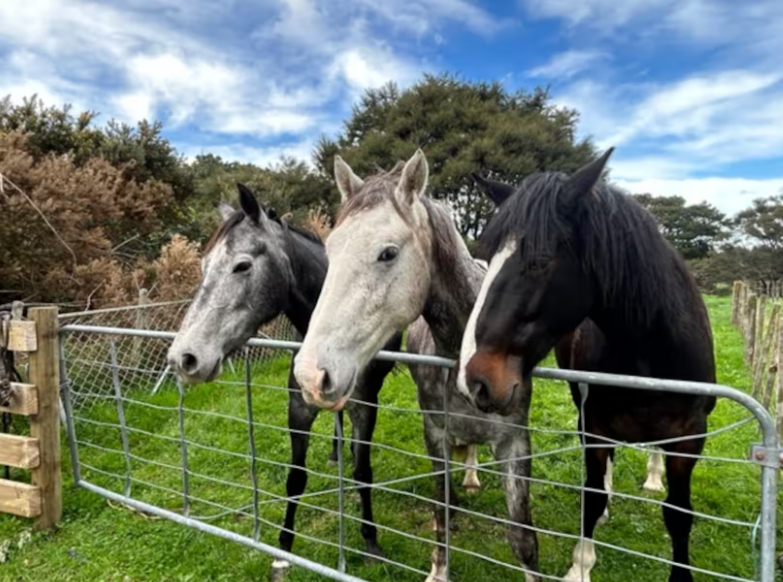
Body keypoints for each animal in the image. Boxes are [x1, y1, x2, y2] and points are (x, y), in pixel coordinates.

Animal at [167, 183, 403, 581]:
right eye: (202, 266)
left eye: (242, 265)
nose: (185, 358)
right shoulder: (298, 408)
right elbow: (296, 478)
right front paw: (283, 550)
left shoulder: (365, 408)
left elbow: (362, 472)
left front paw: (371, 541)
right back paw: (335, 452)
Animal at [294, 150, 540, 582]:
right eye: (331, 250)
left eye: (388, 253)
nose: (310, 375)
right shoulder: (435, 434)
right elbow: (441, 511)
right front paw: (438, 569)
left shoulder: (515, 442)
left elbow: (522, 539)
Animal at [458, 148, 716, 582]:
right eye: (487, 260)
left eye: (539, 262)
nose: (474, 381)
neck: (649, 356)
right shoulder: (593, 427)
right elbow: (591, 498)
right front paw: (580, 566)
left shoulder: (690, 438)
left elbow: (678, 514)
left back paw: (652, 476)